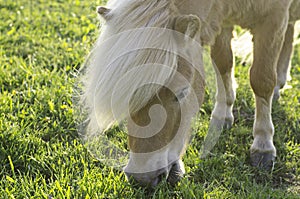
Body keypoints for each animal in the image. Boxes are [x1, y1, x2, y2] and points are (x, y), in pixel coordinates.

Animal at [82, 0, 300, 187]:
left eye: (181, 92)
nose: (142, 178)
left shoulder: (273, 20)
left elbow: (262, 80)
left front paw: (263, 145)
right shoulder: (222, 18)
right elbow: (223, 63)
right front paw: (222, 115)